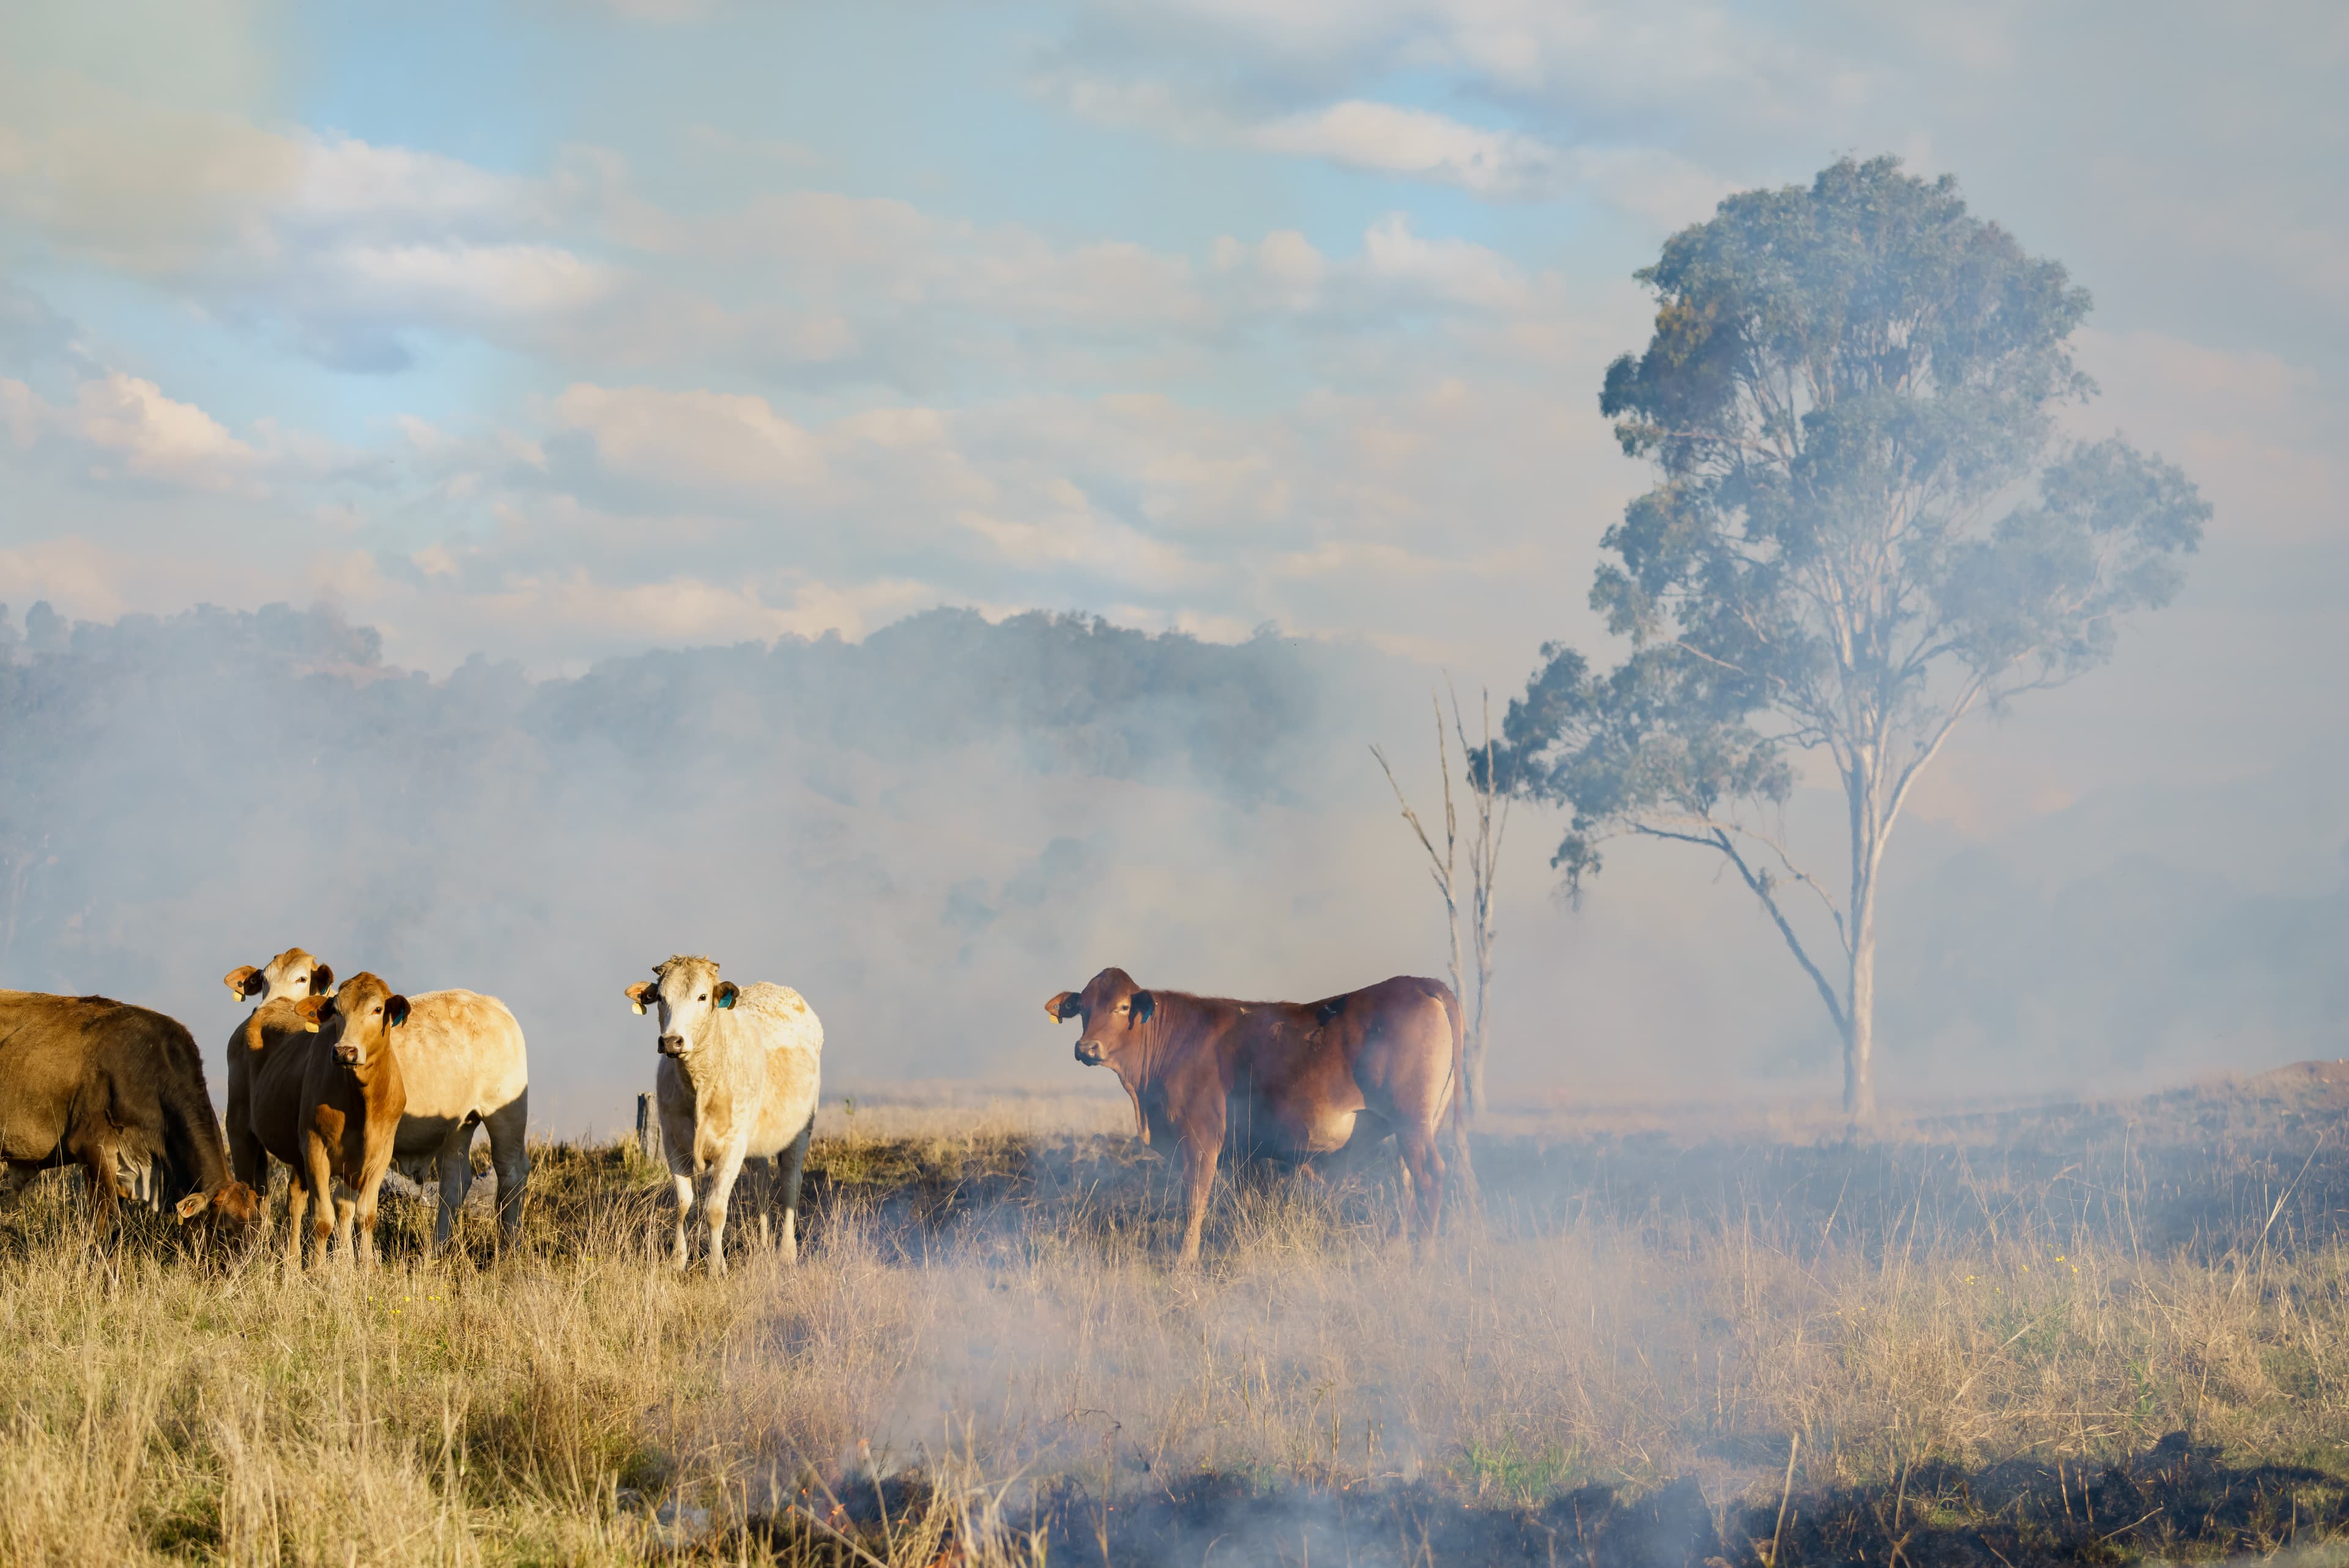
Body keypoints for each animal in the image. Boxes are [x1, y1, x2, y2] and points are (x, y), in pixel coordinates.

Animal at [249, 972, 407, 1269]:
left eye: (378, 1009)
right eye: (335, 1010)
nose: (345, 1051)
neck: (362, 1103)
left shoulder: (381, 1154)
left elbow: (365, 1215)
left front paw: (366, 1267)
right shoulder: (315, 1147)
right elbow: (323, 1219)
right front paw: (320, 1271)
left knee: (296, 1197)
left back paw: (292, 1264)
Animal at [625, 955, 821, 1276]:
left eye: (703, 997)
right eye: (661, 998)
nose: (672, 1041)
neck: (700, 1082)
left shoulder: (731, 1146)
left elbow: (715, 1209)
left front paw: (717, 1267)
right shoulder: (672, 1143)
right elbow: (684, 1204)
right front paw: (677, 1261)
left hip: (800, 1130)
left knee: (790, 1184)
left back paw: (786, 1252)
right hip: (755, 1140)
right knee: (761, 1185)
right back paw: (763, 1247)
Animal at [1045, 967, 1470, 1263]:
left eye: (1121, 1007)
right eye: (1083, 1009)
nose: (1086, 1048)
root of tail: (1419, 983)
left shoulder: (1200, 1140)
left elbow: (1194, 1202)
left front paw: (1185, 1262)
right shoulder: (1244, 1153)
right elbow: (1249, 1203)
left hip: (1413, 1124)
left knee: (1430, 1176)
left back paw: (1426, 1255)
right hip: (1415, 1127)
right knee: (1408, 1183)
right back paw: (1398, 1248)